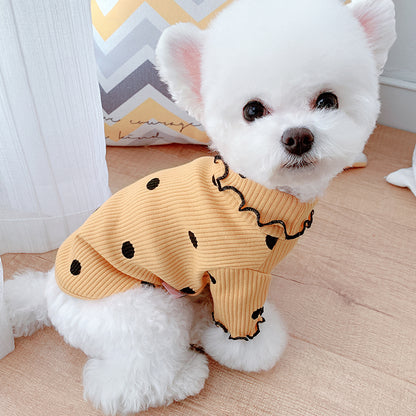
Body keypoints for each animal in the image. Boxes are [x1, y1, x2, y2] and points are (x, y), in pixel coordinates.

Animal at [3, 0, 394, 414]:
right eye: (252, 110)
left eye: (327, 101)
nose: (298, 137)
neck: (255, 192)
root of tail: (49, 293)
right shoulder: (237, 275)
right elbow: (243, 327)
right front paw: (247, 350)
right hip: (143, 312)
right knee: (125, 384)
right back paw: (186, 374)